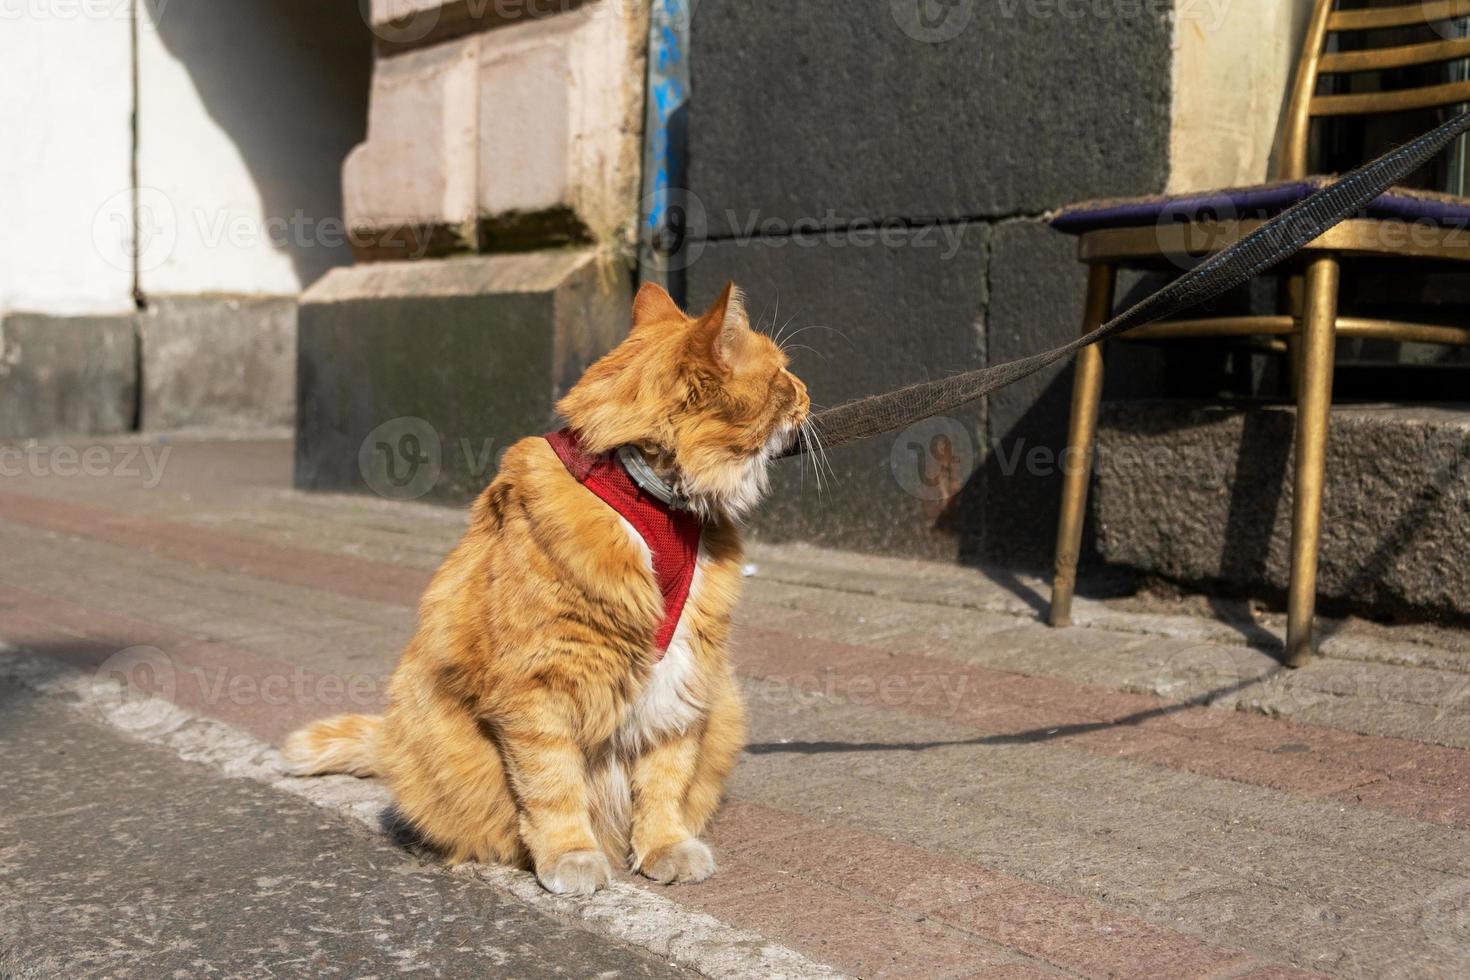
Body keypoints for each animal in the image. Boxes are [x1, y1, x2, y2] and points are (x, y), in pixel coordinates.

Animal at [283, 279, 817, 893]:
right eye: (783, 375)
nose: (808, 392)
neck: (654, 495)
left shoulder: (686, 678)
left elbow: (665, 779)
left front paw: (665, 846)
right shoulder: (538, 685)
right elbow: (552, 784)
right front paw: (571, 855)